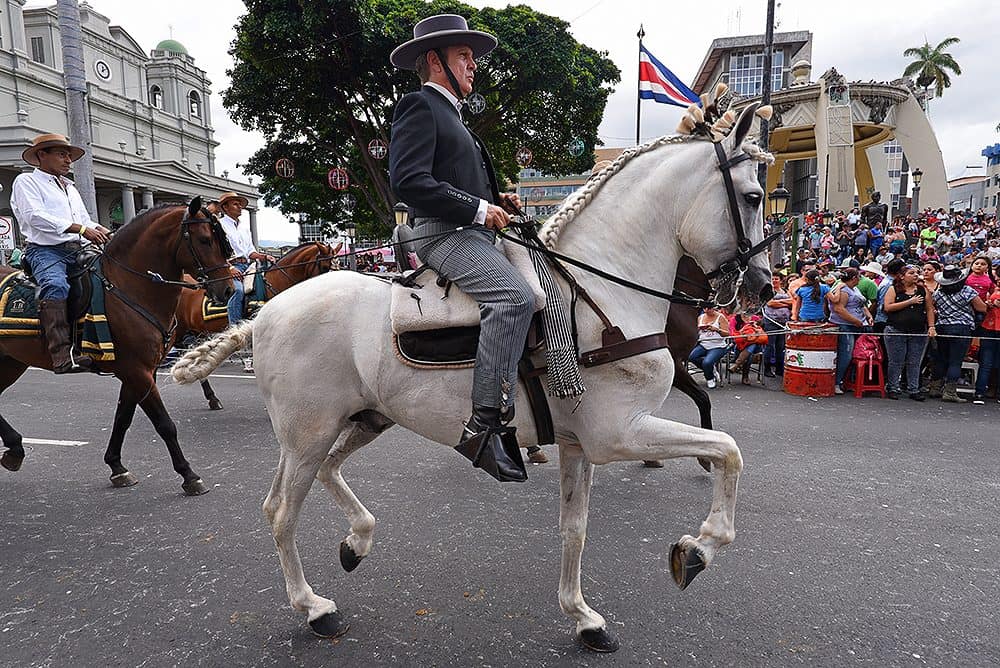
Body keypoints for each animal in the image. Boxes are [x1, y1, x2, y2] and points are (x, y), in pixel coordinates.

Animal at [0, 196, 232, 494]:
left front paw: (116, 466)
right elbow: (164, 424)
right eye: (204, 240)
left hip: (10, 363)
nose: (227, 290)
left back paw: (15, 448)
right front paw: (189, 475)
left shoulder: (140, 371)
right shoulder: (137, 371)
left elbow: (123, 417)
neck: (130, 286)